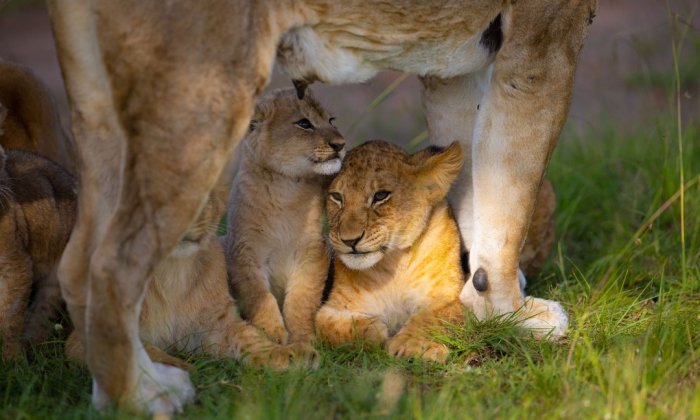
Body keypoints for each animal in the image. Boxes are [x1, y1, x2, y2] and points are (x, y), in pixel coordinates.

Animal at [226, 87, 345, 346]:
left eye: (331, 120)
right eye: (304, 123)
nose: (341, 144)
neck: (286, 188)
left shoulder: (313, 252)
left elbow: (301, 299)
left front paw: (302, 337)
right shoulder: (245, 252)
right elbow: (260, 297)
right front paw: (273, 335)